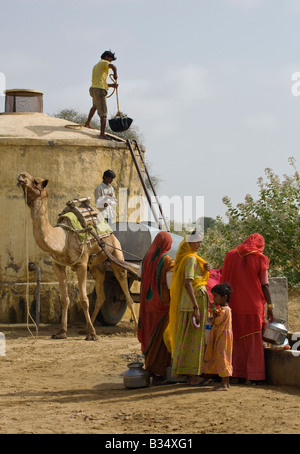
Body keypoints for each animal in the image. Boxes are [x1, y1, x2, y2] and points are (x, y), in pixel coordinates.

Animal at [17, 171, 137, 340]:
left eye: (36, 182)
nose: (21, 176)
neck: (63, 239)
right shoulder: (58, 265)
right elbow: (64, 299)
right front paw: (61, 332)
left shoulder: (81, 264)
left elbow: (84, 300)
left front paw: (93, 334)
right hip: (97, 267)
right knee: (101, 296)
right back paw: (86, 328)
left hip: (116, 254)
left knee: (126, 290)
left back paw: (136, 328)